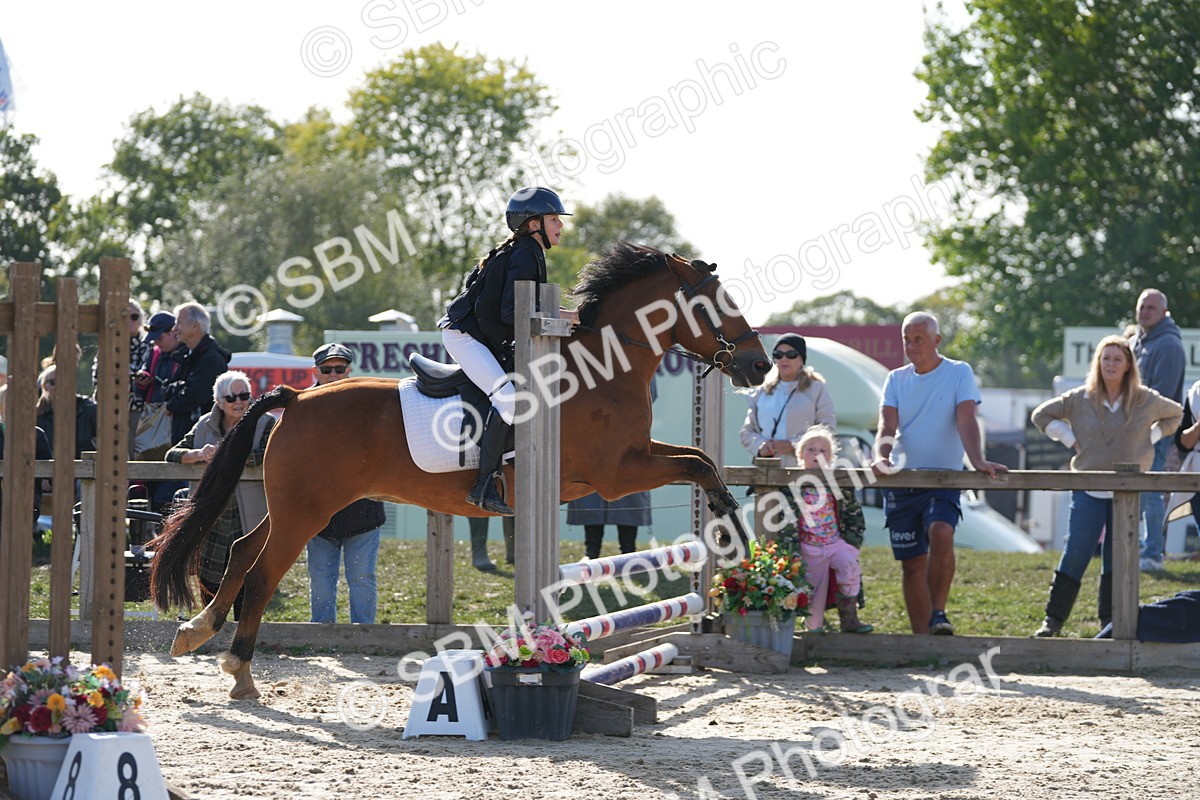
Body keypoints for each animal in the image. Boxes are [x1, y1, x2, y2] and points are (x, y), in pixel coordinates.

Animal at [150, 242, 770, 698]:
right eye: (713, 306)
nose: (759, 366)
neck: (602, 369)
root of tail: (299, 399)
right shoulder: (617, 474)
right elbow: (695, 464)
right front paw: (734, 528)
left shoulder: (631, 460)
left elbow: (700, 460)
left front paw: (730, 521)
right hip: (307, 510)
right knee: (260, 575)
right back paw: (239, 672)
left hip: (296, 505)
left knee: (240, 550)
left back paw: (196, 632)